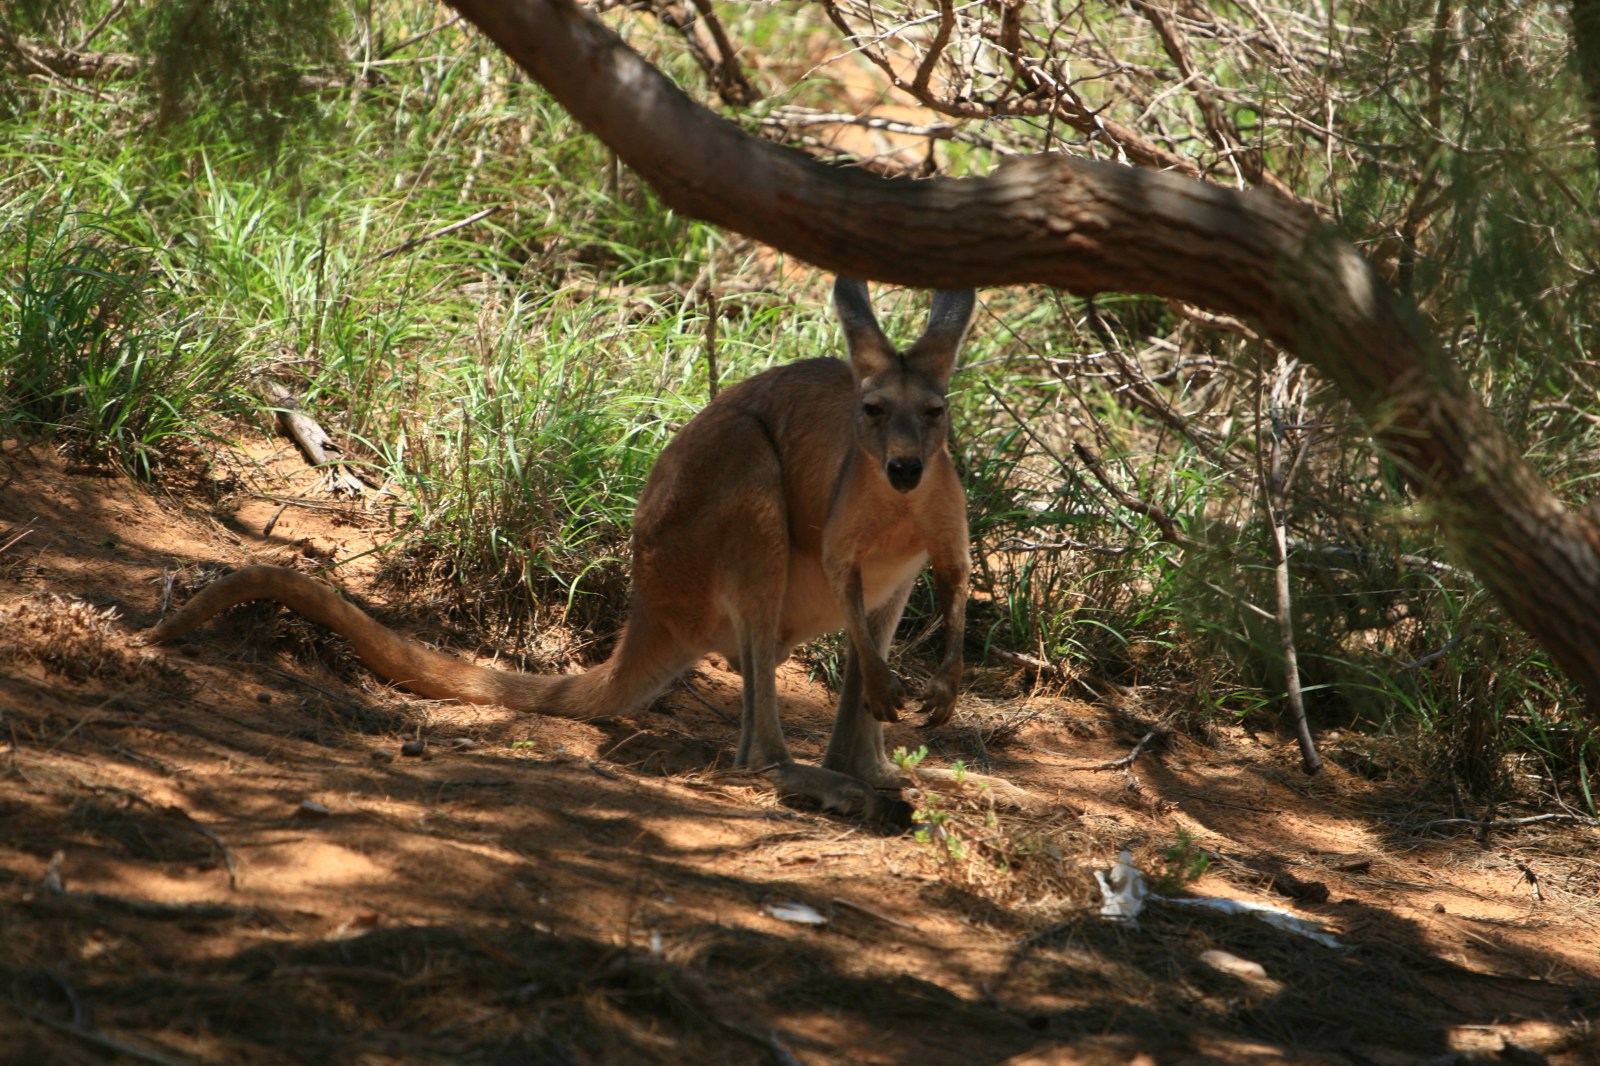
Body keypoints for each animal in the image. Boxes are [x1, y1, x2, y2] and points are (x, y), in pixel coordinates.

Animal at [142, 278, 977, 820]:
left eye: (937, 412)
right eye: (870, 411)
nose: (905, 468)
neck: (896, 510)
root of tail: (649, 606)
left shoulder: (918, 556)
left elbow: (942, 597)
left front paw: (935, 698)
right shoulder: (846, 548)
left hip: (852, 585)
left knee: (844, 680)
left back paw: (884, 778)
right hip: (738, 494)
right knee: (758, 741)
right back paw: (824, 783)